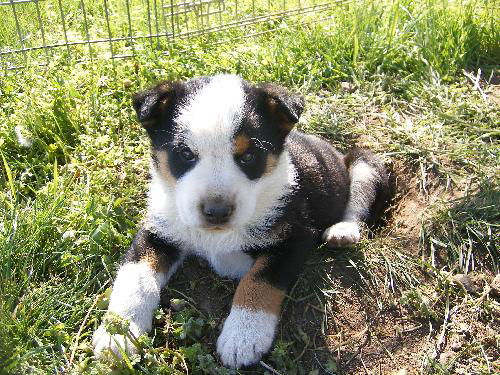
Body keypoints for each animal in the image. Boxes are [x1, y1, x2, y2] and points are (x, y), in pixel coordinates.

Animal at [94, 74, 390, 370]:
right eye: (186, 154)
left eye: (248, 157)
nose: (216, 211)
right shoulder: (157, 231)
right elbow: (135, 277)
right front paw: (118, 333)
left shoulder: (293, 237)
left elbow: (258, 281)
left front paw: (243, 338)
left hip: (366, 162)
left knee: (357, 205)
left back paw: (342, 231)